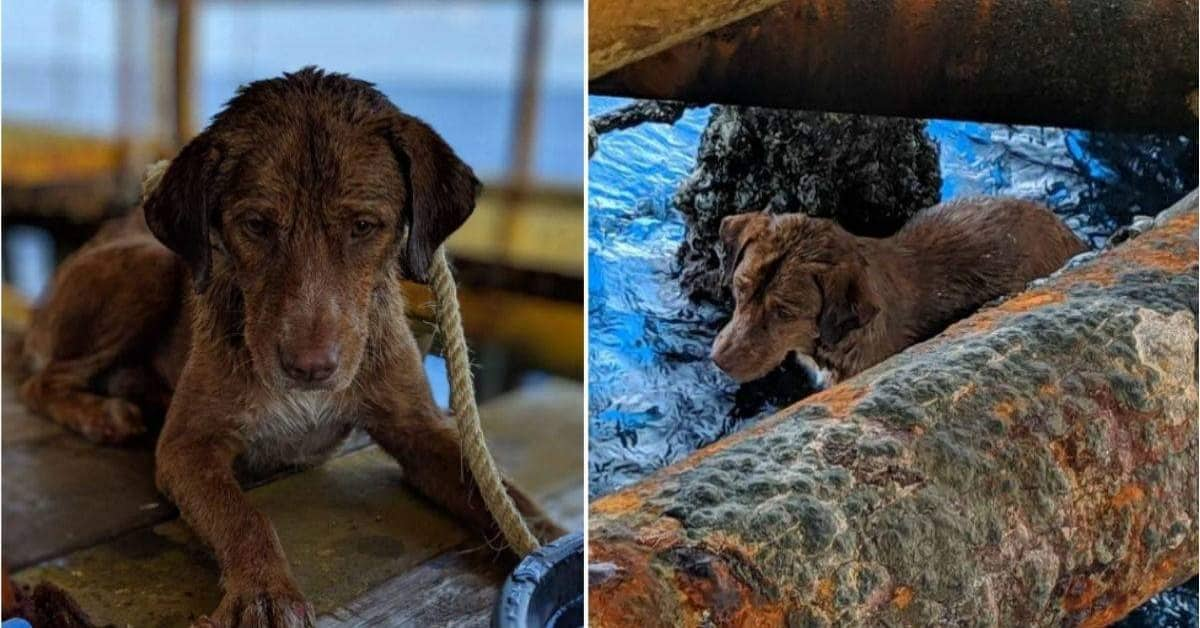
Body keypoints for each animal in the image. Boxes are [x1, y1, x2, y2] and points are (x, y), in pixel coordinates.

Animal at [19, 68, 561, 628]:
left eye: (364, 226)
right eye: (256, 225)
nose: (310, 369)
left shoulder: (420, 428)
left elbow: (500, 494)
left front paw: (550, 542)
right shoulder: (187, 447)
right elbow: (244, 515)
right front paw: (263, 591)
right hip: (147, 267)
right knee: (39, 381)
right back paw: (101, 414)